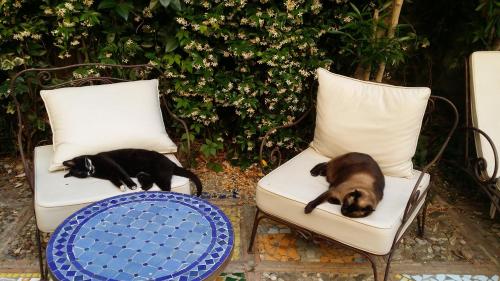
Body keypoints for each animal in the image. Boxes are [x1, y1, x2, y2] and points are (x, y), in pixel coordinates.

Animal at [61, 148, 202, 196]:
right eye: (81, 174)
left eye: (85, 164)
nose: (89, 171)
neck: (97, 167)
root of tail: (172, 163)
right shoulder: (110, 176)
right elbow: (116, 181)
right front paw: (122, 187)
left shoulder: (115, 167)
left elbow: (124, 176)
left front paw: (131, 186)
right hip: (144, 175)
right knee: (150, 183)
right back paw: (142, 189)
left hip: (160, 175)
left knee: (167, 187)